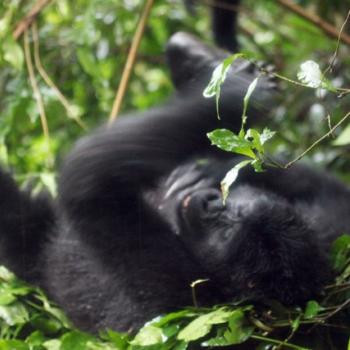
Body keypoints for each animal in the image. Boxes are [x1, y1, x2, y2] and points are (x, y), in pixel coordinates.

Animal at [0, 31, 350, 334]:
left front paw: (238, 89)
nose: (211, 202)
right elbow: (328, 190)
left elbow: (87, 175)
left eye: (225, 228)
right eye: (230, 209)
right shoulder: (330, 227)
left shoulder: (172, 281)